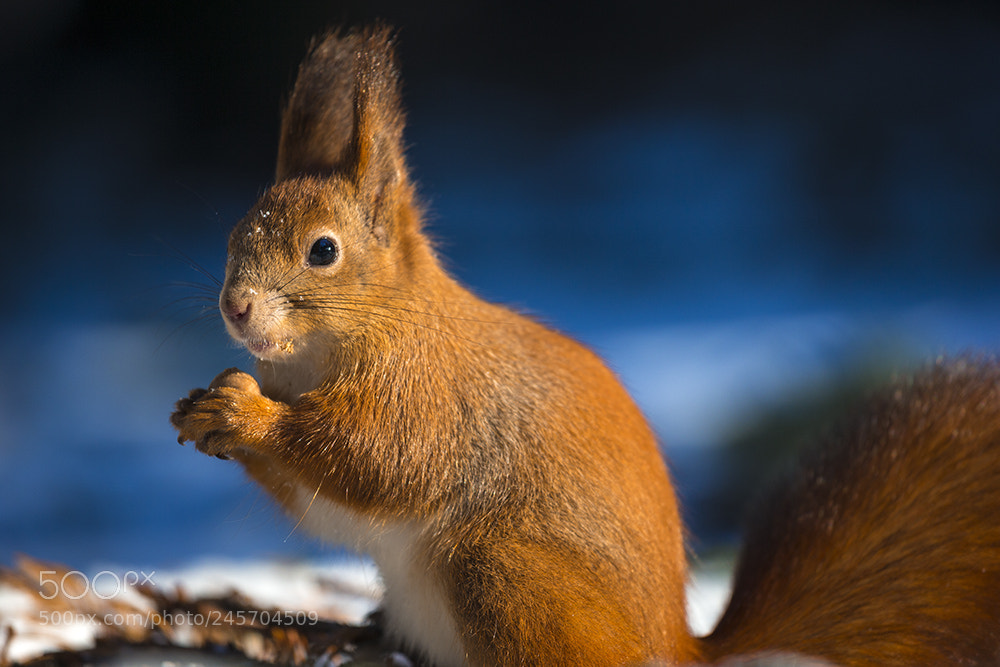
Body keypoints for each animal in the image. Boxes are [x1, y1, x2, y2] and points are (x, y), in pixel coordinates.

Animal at [171, 26, 1000, 666]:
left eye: (323, 251)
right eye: (235, 231)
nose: (235, 306)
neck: (353, 333)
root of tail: (676, 650)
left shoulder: (431, 395)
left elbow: (377, 457)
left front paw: (244, 412)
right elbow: (322, 505)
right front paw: (201, 410)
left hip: (501, 572)